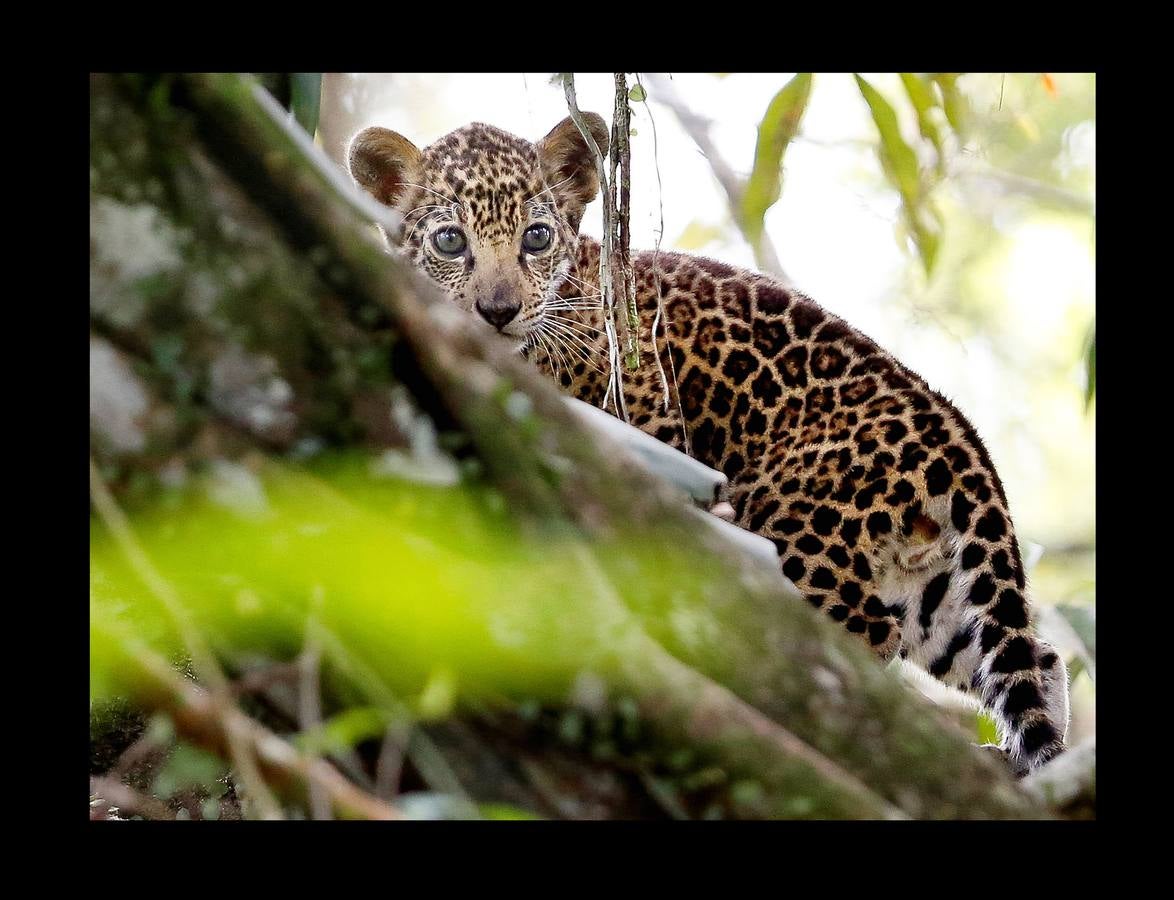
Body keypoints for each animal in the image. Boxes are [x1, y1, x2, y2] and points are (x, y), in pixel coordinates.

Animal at [346, 111, 1070, 775]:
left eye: (536, 237)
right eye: (450, 241)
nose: (497, 311)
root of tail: (962, 443)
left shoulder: (645, 413)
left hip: (804, 533)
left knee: (848, 636)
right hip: (940, 597)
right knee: (1037, 660)